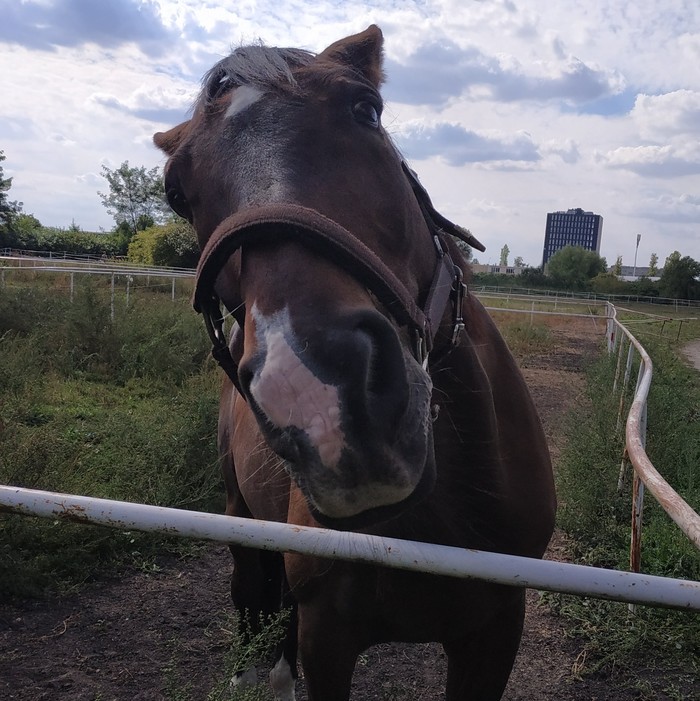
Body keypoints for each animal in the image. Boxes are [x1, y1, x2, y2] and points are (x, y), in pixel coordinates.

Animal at [156, 23, 556, 700]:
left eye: (366, 110)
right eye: (175, 192)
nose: (318, 397)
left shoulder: (497, 630)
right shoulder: (328, 638)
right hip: (241, 520)